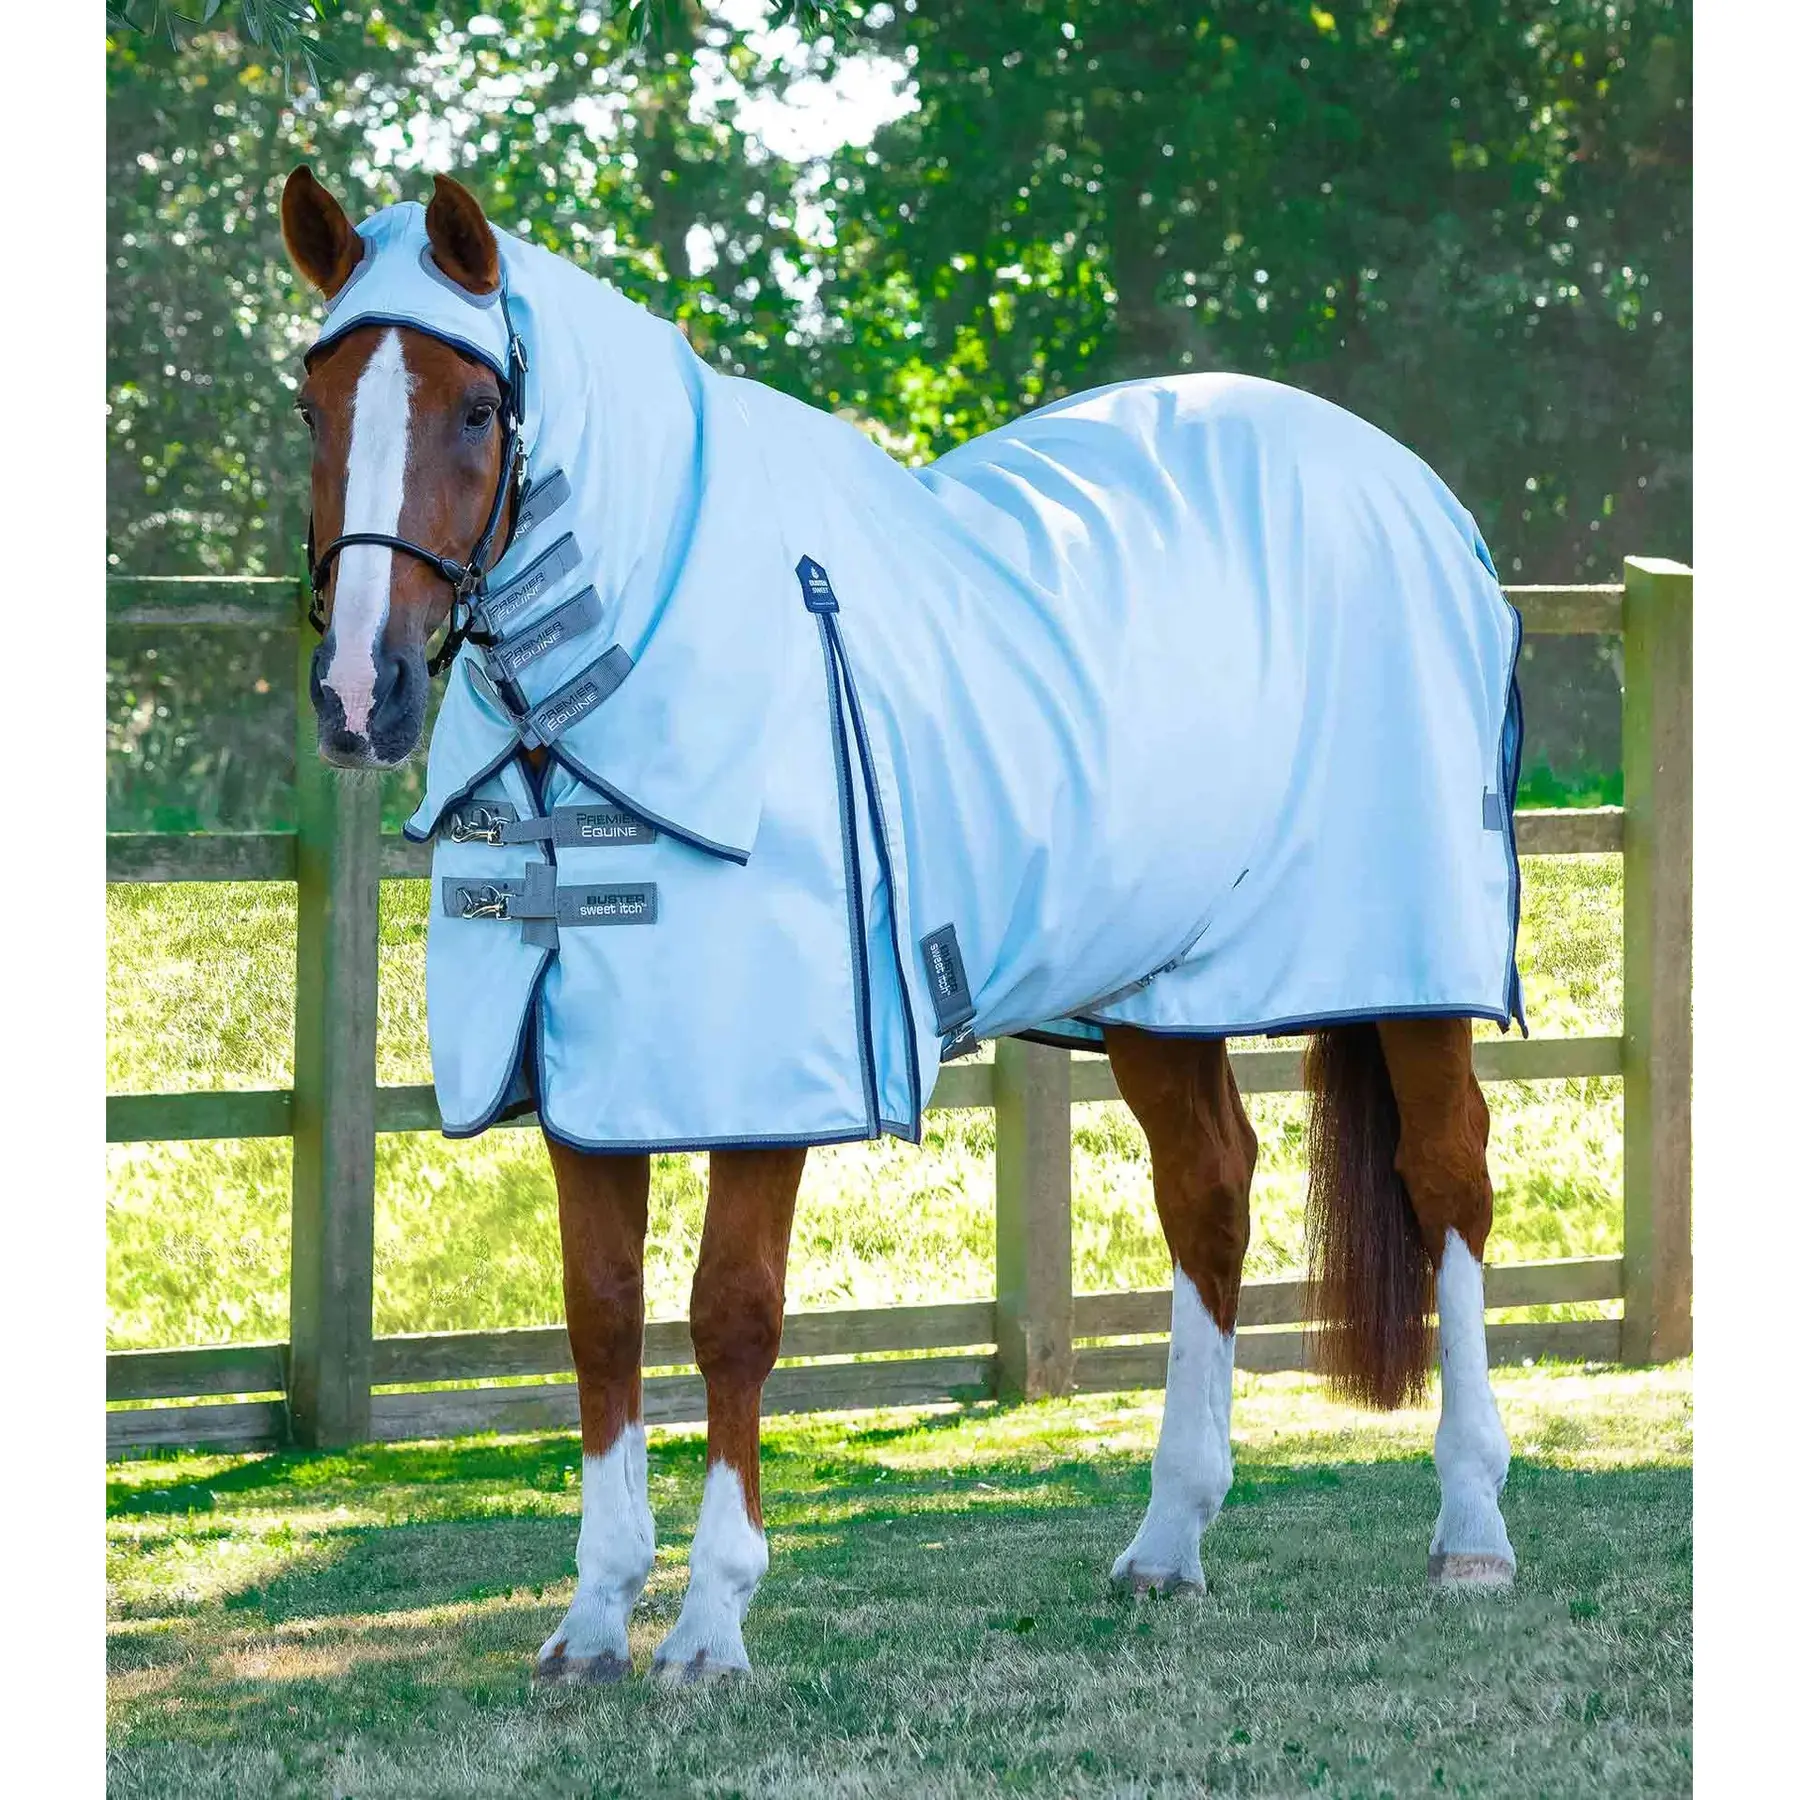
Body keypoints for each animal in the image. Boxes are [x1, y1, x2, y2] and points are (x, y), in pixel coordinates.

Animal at [281, 165, 1521, 1684]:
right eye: (314, 405)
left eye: (473, 408)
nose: (361, 693)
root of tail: (1418, 493)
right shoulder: (590, 1072)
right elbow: (601, 1312)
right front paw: (592, 1619)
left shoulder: (767, 1076)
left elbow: (731, 1314)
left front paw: (710, 1624)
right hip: (1158, 985)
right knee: (1209, 1193)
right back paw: (1169, 1540)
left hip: (1410, 966)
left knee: (1448, 1180)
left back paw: (1472, 1530)